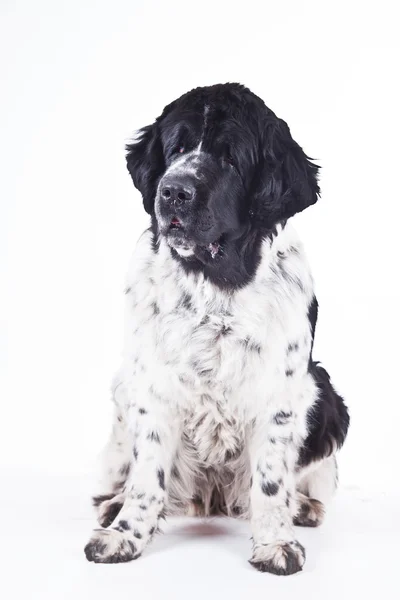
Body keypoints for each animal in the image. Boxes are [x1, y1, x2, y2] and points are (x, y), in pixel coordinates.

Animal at [84, 84, 350, 576]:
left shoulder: (281, 392)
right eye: (176, 149)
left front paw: (275, 542)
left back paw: (303, 507)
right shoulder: (152, 386)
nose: (173, 191)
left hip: (325, 392)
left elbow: (270, 481)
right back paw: (113, 505)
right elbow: (147, 476)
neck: (216, 286)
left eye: (231, 159)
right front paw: (125, 535)